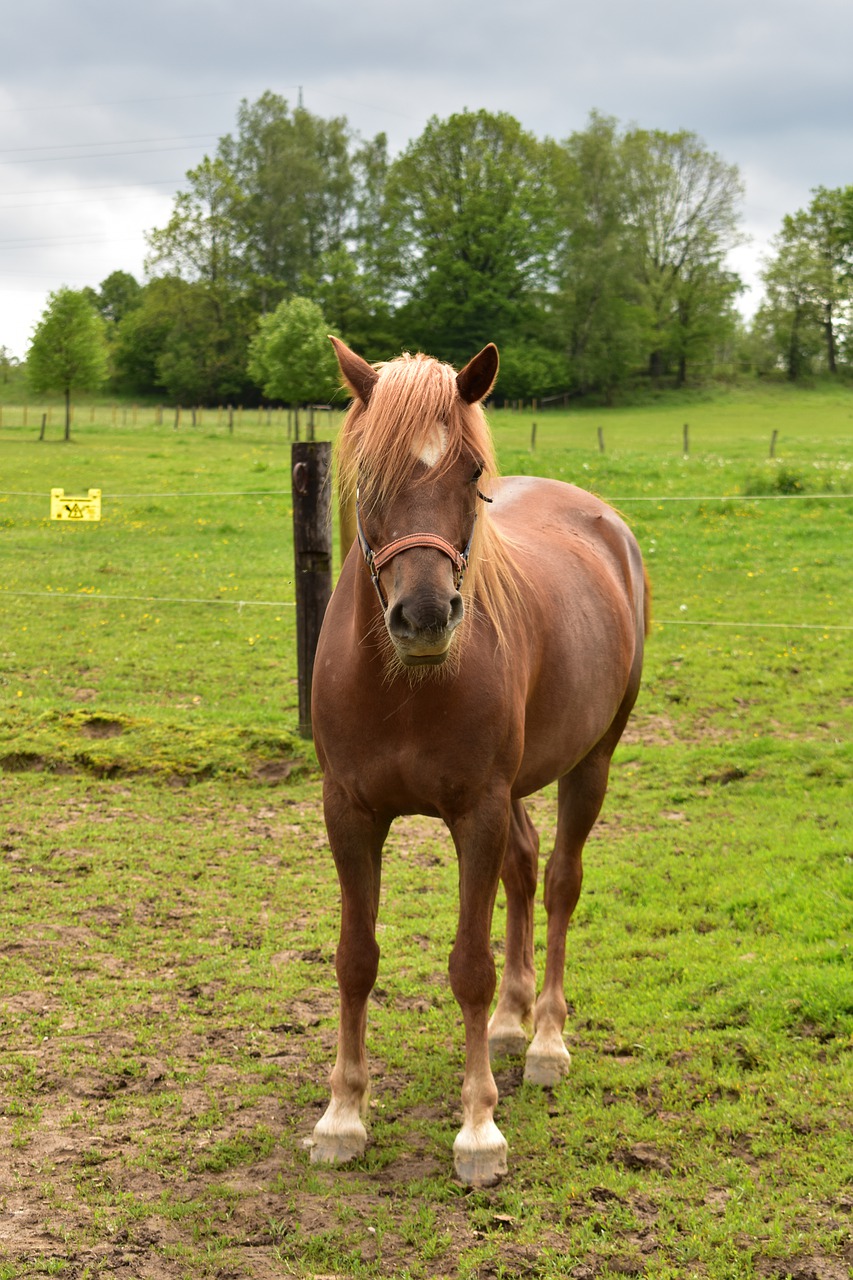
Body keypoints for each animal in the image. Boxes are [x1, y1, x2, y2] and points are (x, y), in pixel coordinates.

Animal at [306, 340, 645, 1187]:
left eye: (468, 472)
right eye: (370, 472)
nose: (425, 616)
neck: (404, 685)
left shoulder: (476, 811)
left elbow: (468, 965)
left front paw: (477, 1131)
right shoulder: (348, 811)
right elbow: (355, 958)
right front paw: (342, 1116)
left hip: (589, 763)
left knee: (557, 882)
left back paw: (546, 1039)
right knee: (523, 869)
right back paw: (510, 1024)